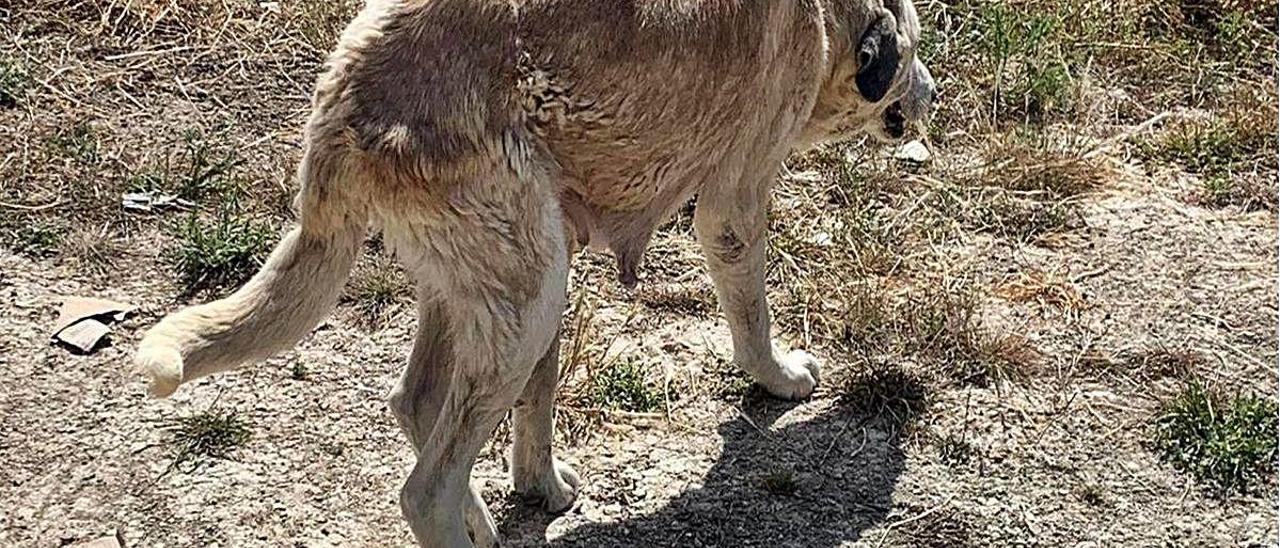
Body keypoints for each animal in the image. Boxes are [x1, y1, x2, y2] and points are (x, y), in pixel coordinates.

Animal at [135, 2, 936, 545]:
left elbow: (538, 406)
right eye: (917, 49)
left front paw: (538, 486)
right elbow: (752, 319)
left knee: (417, 401)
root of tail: (341, 99)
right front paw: (778, 379)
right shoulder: (732, 207)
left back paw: (494, 509)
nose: (932, 93)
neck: (825, 16)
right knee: (424, 490)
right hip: (529, 294)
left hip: (507, 279)